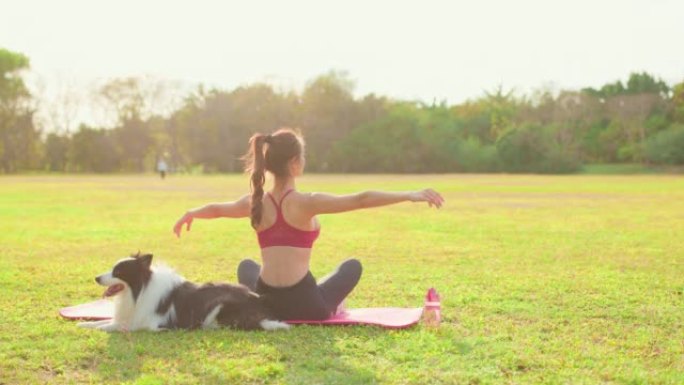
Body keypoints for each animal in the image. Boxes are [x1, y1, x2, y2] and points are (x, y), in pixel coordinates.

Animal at [78, 252, 288, 330]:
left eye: (118, 272)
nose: (96, 278)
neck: (138, 290)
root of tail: (258, 299)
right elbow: (107, 321)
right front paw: (84, 324)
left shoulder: (147, 323)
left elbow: (111, 327)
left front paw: (96, 328)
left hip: (218, 308)